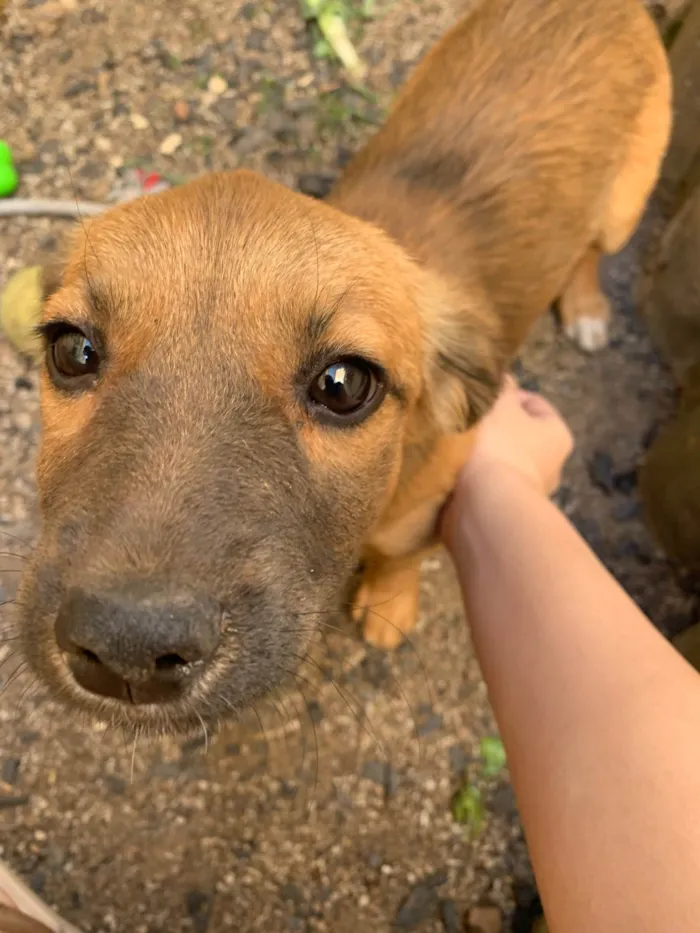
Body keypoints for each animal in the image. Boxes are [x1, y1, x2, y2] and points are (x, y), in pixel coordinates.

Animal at [19, 0, 668, 732]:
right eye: (72, 350)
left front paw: (390, 606)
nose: (124, 648)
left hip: (624, 205)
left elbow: (401, 555)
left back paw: (585, 306)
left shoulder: (426, 505)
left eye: (343, 384)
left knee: (593, 249)